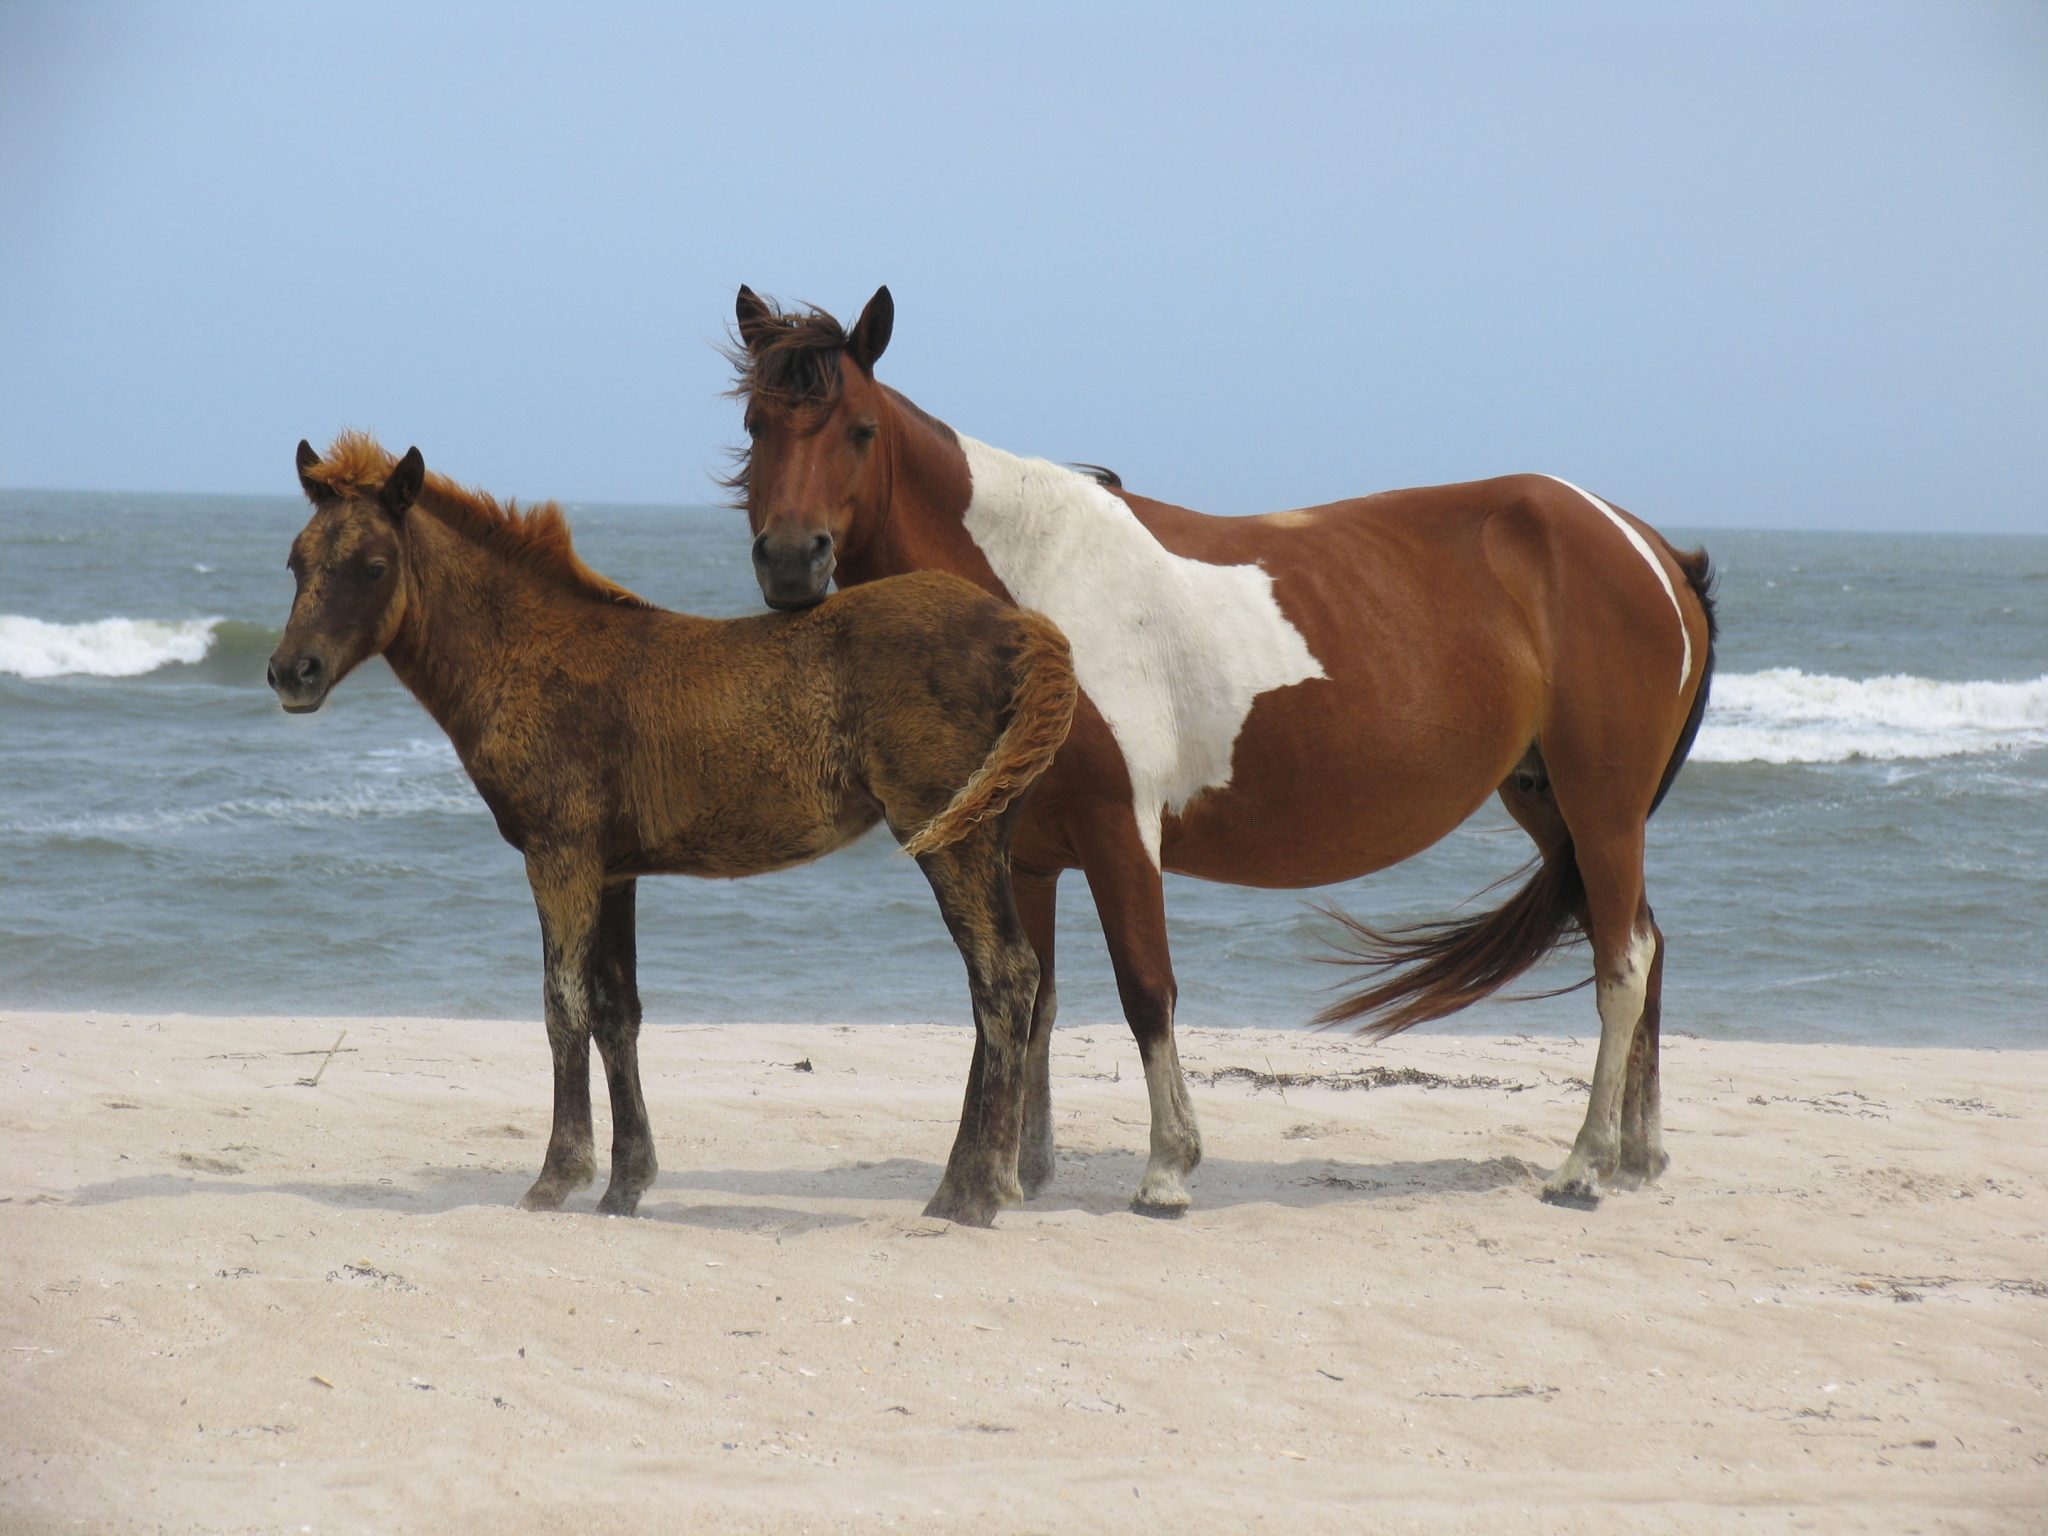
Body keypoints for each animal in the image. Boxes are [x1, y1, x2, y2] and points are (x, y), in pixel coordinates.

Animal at [268, 434, 1073, 1228]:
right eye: (295, 561)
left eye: (374, 567)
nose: (290, 673)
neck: (529, 653)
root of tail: (1019, 627)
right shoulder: (613, 869)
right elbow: (617, 1012)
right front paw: (625, 1186)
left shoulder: (558, 855)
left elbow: (563, 1004)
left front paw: (556, 1179)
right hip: (982, 830)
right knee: (1001, 982)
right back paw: (961, 1187)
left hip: (951, 838)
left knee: (1003, 975)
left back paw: (977, 1192)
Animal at [729, 294, 1720, 1220]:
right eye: (756, 426)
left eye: (859, 430)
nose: (791, 562)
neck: (1036, 591)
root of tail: (1647, 545)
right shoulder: (1030, 852)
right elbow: (1034, 997)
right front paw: (1019, 1174)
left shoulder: (1120, 832)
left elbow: (1145, 990)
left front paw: (1167, 1171)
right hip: (1550, 805)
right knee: (1646, 945)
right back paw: (1639, 1158)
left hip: (1601, 808)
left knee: (1623, 962)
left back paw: (1584, 1167)